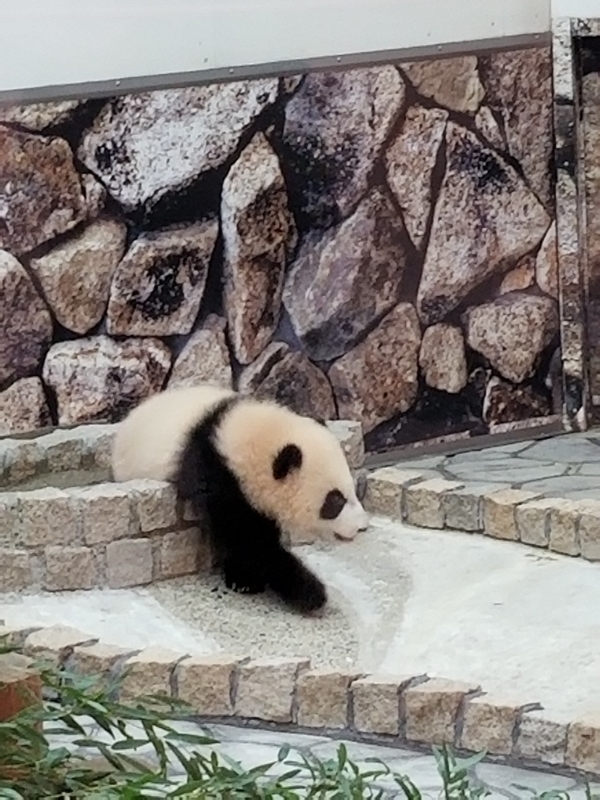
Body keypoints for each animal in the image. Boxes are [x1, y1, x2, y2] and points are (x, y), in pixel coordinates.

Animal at [111, 384, 369, 613]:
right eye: (335, 502)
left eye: (351, 490)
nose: (361, 526)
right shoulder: (217, 474)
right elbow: (248, 540)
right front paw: (307, 591)